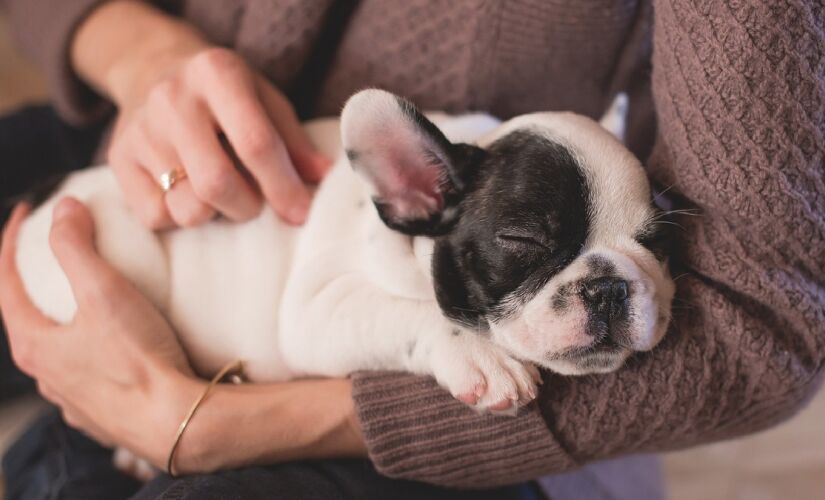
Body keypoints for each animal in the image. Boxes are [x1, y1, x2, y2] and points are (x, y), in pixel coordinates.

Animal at [12, 89, 672, 418]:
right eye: (524, 240)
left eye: (656, 242)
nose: (610, 285)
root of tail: (45, 195)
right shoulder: (316, 310)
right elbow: (411, 313)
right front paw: (481, 357)